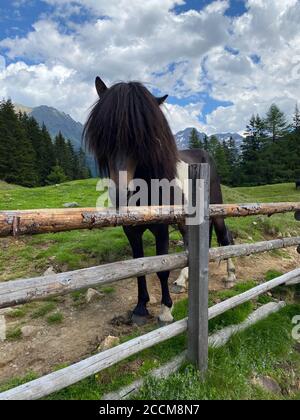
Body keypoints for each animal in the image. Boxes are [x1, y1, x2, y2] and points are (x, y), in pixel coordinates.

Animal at [83, 79, 236, 326]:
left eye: (141, 139)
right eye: (104, 135)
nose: (121, 195)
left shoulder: (162, 229)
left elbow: (162, 269)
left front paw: (165, 310)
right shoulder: (131, 231)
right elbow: (138, 267)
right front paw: (140, 308)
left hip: (217, 211)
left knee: (225, 238)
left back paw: (231, 275)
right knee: (190, 243)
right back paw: (182, 281)